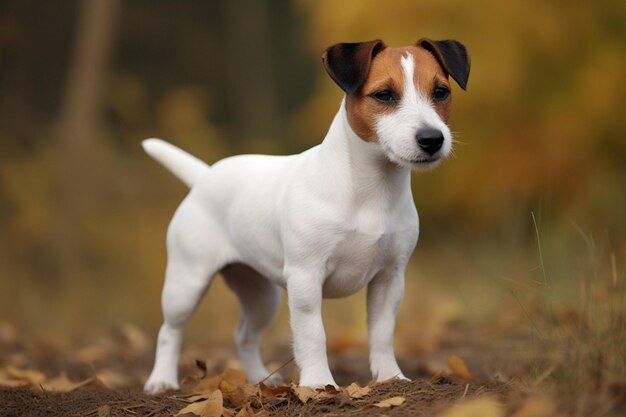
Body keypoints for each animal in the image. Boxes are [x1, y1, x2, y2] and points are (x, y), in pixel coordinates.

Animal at [143, 37, 468, 392]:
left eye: (440, 92)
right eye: (384, 95)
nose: (432, 139)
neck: (370, 190)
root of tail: (204, 177)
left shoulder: (389, 278)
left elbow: (382, 333)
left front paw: (390, 378)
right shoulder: (305, 277)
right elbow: (313, 335)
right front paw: (318, 384)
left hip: (260, 293)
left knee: (244, 335)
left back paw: (260, 380)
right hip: (187, 282)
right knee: (170, 331)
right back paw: (161, 381)